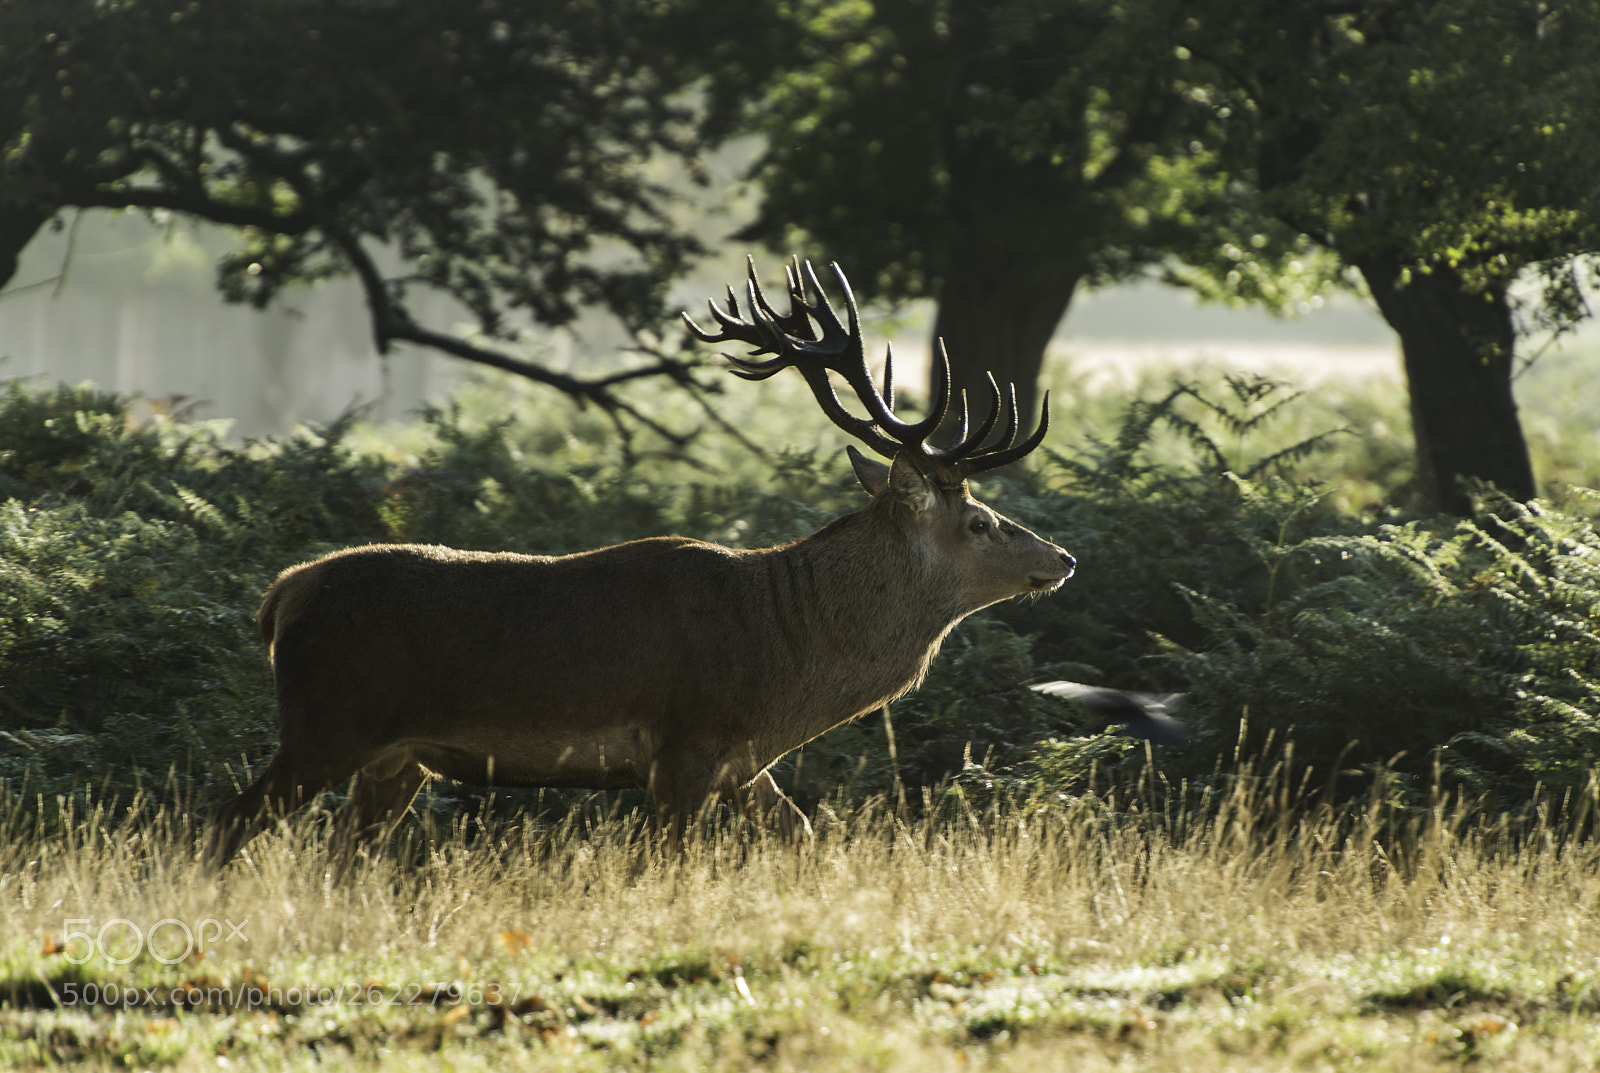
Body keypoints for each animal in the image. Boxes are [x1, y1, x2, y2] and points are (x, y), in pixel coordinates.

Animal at [205, 258, 1075, 867]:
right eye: (979, 521)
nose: (1063, 557)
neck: (789, 661)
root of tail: (283, 594)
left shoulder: (742, 762)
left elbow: (802, 830)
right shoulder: (684, 742)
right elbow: (664, 864)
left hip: (396, 759)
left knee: (343, 853)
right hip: (328, 722)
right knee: (231, 819)